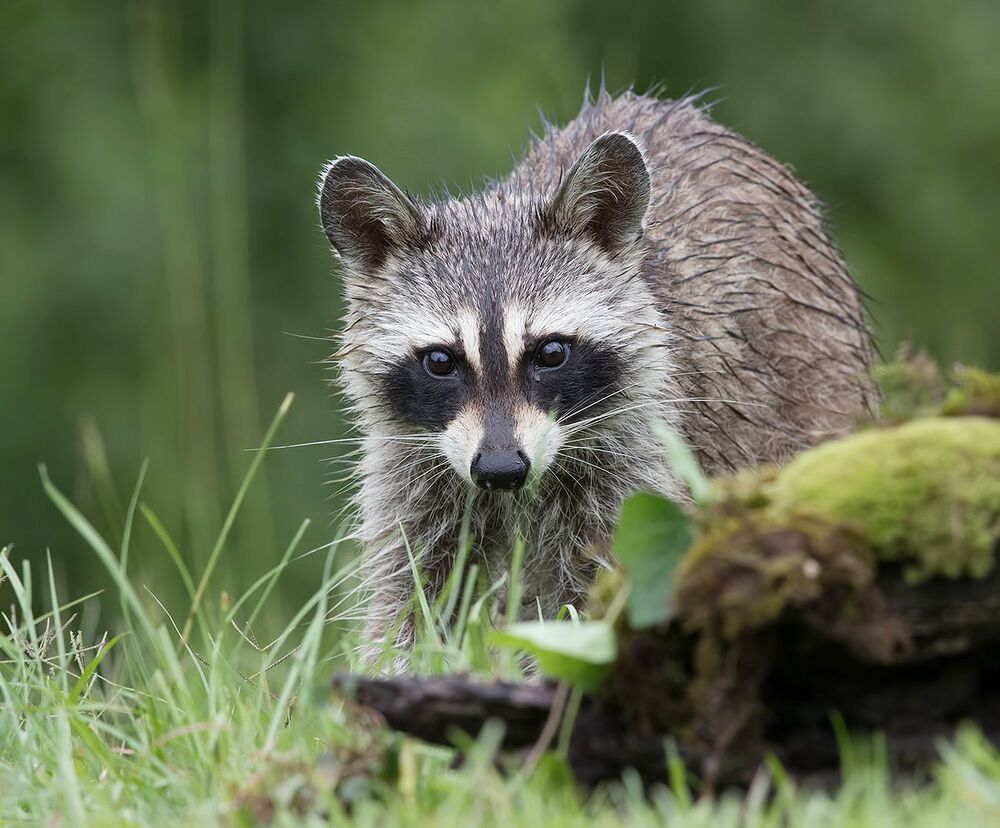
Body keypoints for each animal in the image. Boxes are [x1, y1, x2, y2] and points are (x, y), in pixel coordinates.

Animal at [317, 89, 876, 657]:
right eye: (440, 361)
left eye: (550, 353)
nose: (500, 469)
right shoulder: (411, 468)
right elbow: (413, 593)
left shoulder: (637, 456)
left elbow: (593, 603)